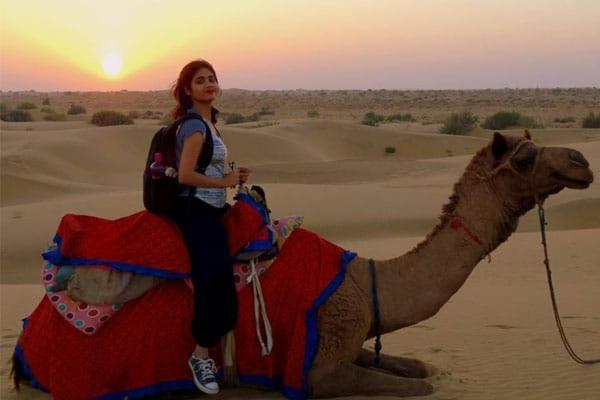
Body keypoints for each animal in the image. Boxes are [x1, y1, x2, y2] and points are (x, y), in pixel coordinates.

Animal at [308, 132, 592, 396]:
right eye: (523, 159)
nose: (581, 161)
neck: (368, 286)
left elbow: (419, 367)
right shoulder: (324, 367)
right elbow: (422, 387)